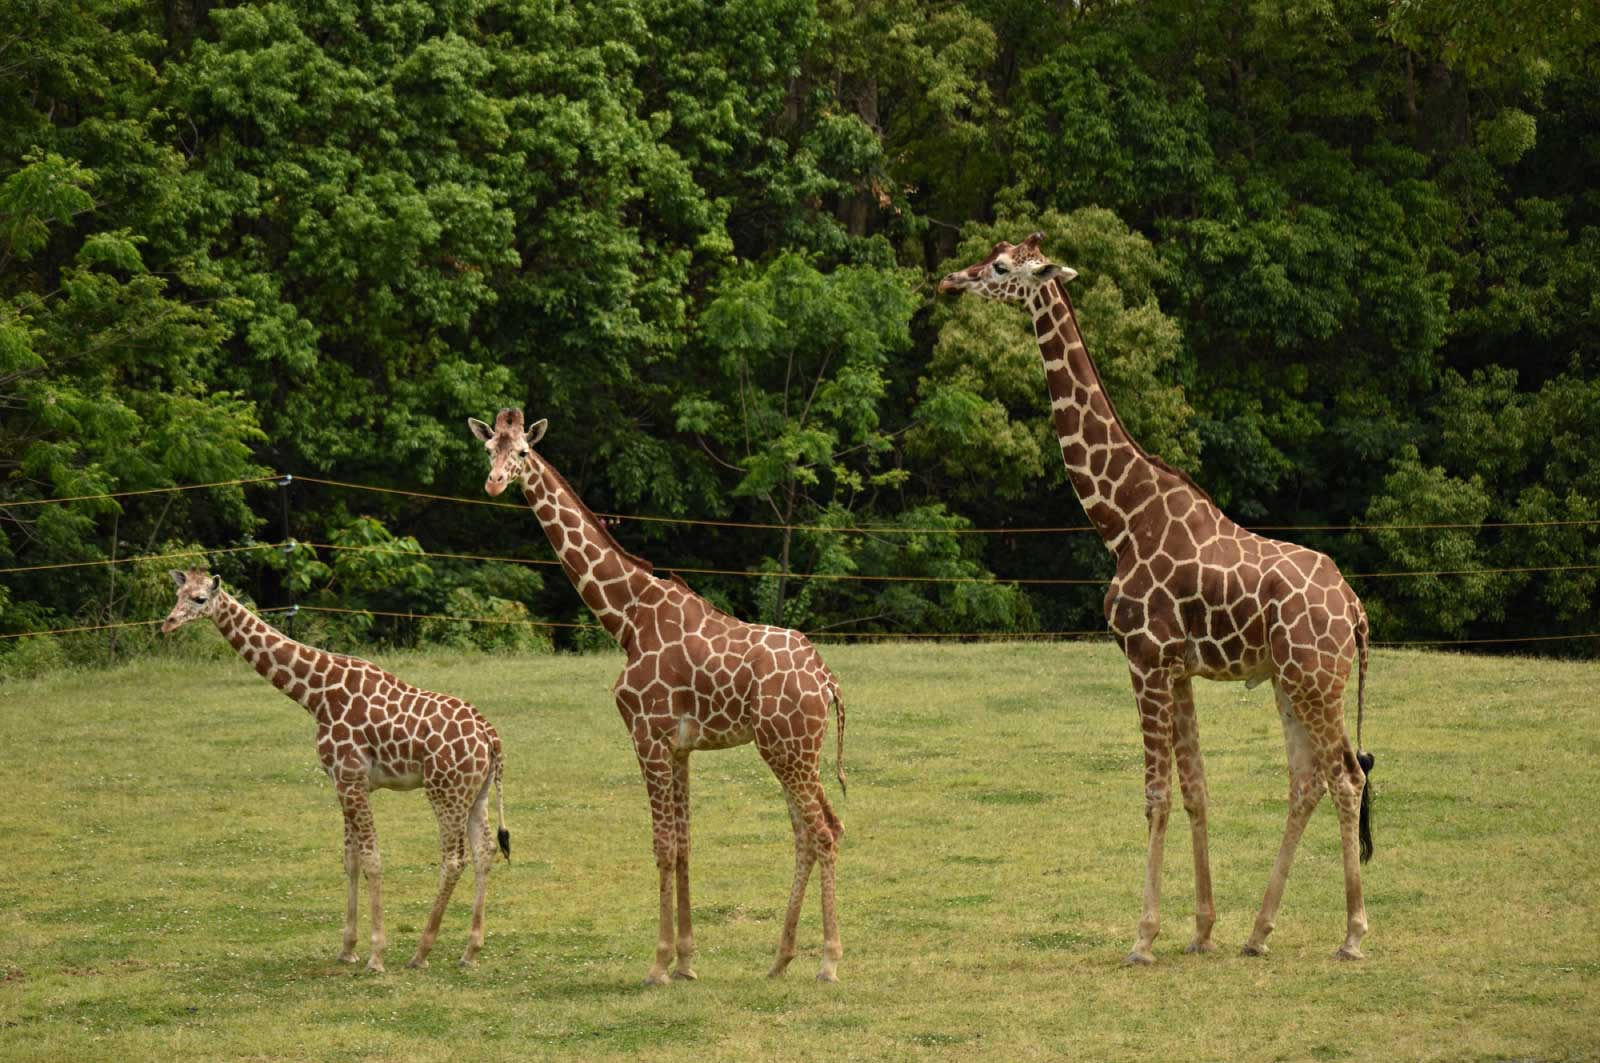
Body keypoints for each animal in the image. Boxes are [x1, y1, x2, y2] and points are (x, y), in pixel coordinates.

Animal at [159, 569, 508, 973]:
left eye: (200, 599)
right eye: (178, 593)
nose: (168, 623)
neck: (317, 694)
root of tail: (490, 736)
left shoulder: (350, 777)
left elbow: (372, 859)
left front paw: (376, 955)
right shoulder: (344, 782)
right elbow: (351, 861)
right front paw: (347, 949)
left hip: (444, 790)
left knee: (454, 859)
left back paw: (421, 953)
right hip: (476, 792)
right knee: (485, 850)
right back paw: (470, 951)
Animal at [467, 409, 851, 986]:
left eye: (524, 454)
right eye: (490, 447)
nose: (493, 482)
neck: (626, 618)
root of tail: (827, 680)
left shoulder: (645, 735)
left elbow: (663, 846)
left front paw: (659, 964)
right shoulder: (680, 746)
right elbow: (686, 843)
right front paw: (687, 961)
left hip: (788, 749)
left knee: (824, 830)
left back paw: (828, 962)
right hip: (793, 750)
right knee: (810, 832)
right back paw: (780, 959)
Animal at [934, 232, 1376, 960]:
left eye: (1000, 266)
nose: (950, 280)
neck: (1118, 516)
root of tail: (1356, 610)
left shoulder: (1142, 657)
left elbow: (1156, 795)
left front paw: (1143, 936)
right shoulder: (1180, 667)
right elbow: (1196, 789)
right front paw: (1201, 928)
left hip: (1317, 679)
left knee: (1346, 776)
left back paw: (1353, 934)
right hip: (1291, 680)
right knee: (1307, 779)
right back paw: (1258, 931)